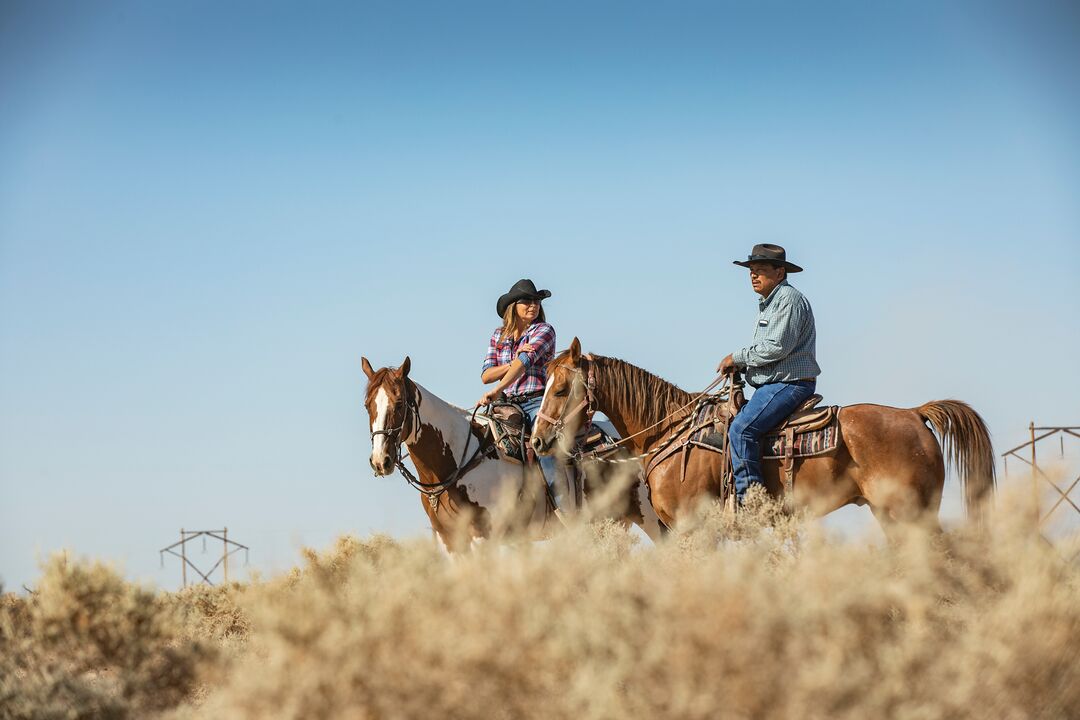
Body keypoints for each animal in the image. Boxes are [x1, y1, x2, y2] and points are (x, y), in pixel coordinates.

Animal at [362, 356, 665, 552]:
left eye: (399, 403)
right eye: (367, 405)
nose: (380, 461)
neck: (460, 461)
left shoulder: (483, 537)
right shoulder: (450, 542)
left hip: (650, 518)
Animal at [531, 338, 993, 535]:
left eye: (560, 389)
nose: (537, 441)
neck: (669, 429)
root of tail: (915, 415)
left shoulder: (690, 527)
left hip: (911, 515)